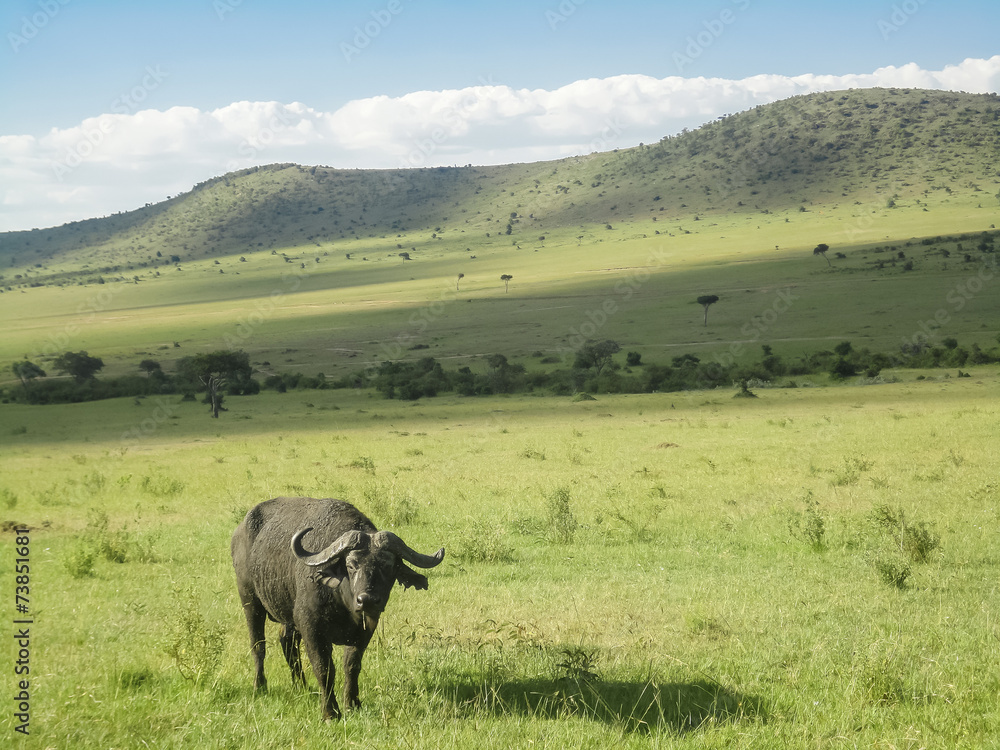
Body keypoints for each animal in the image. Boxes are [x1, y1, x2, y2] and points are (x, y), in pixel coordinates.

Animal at [231, 497, 444, 720]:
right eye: (351, 565)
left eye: (388, 566)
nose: (366, 600)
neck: (343, 603)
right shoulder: (311, 627)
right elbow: (324, 668)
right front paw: (330, 712)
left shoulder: (365, 629)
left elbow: (351, 665)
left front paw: (352, 704)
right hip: (250, 601)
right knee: (258, 645)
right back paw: (260, 686)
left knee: (286, 641)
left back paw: (301, 686)